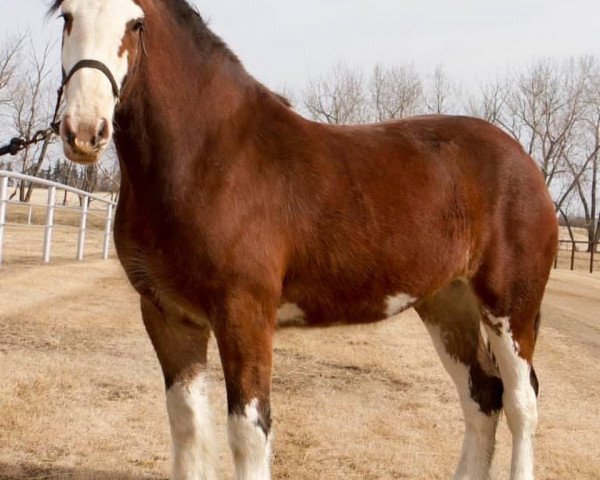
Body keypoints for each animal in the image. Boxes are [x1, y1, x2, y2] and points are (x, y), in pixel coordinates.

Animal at [50, 0, 556, 480]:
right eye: (67, 17)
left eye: (136, 23)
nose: (84, 130)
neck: (207, 157)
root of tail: (523, 160)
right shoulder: (167, 315)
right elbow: (187, 426)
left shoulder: (245, 312)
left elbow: (248, 431)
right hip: (447, 304)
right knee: (482, 398)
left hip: (509, 307)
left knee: (521, 403)